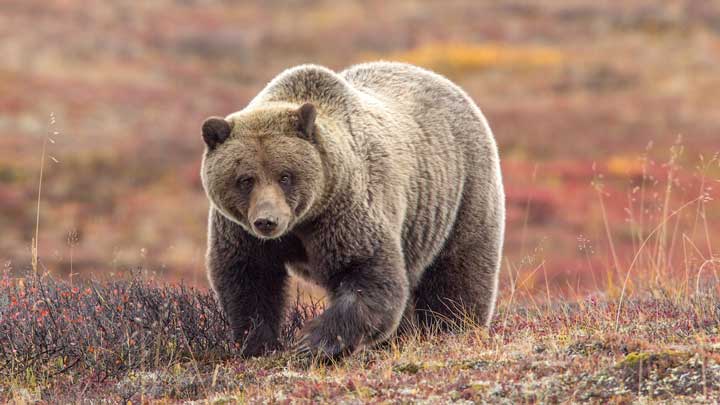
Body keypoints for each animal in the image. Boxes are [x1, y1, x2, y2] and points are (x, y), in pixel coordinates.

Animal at [200, 61, 506, 358]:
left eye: (285, 176)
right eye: (245, 179)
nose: (267, 221)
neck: (304, 219)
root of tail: (446, 81)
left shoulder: (345, 211)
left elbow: (367, 274)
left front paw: (313, 342)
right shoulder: (241, 230)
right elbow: (250, 278)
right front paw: (258, 343)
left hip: (460, 192)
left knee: (457, 272)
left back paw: (454, 327)